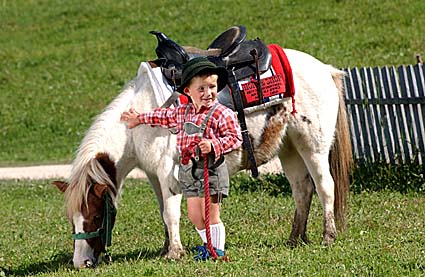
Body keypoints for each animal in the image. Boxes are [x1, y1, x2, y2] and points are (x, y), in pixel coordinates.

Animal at [53, 45, 352, 268]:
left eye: (95, 217)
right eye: (72, 219)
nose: (81, 263)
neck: (135, 128)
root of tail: (326, 70)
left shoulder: (167, 170)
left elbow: (171, 213)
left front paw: (175, 253)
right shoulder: (152, 174)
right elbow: (163, 211)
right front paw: (166, 248)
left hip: (313, 145)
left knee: (325, 186)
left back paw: (328, 236)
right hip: (289, 147)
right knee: (302, 190)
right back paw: (294, 239)